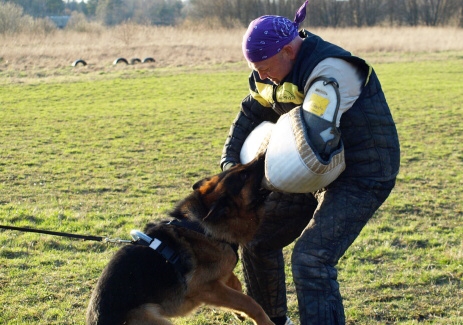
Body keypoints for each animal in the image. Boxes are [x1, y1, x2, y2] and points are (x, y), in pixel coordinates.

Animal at [85, 155, 274, 324]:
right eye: (244, 175)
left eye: (241, 168)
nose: (263, 154)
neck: (201, 228)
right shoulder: (207, 288)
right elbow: (248, 301)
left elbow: (236, 284)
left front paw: (238, 312)